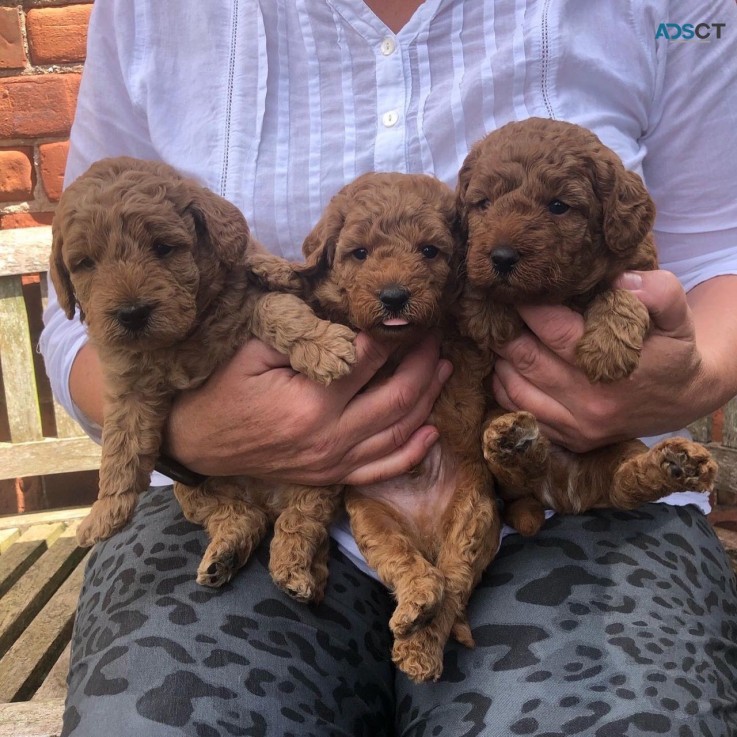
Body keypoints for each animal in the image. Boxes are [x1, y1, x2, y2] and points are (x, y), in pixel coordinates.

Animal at [49, 155, 356, 588]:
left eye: (163, 248)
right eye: (85, 264)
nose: (132, 313)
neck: (182, 336)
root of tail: (266, 500)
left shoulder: (249, 299)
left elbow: (278, 310)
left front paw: (324, 346)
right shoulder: (131, 386)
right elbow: (120, 444)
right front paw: (105, 509)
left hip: (317, 478)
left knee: (303, 519)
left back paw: (294, 570)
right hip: (192, 491)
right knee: (239, 516)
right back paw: (225, 553)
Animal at [253, 170, 500, 680]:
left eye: (429, 250)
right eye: (360, 253)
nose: (393, 297)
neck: (396, 341)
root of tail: (426, 533)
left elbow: (465, 310)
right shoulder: (338, 306)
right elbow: (314, 287)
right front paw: (276, 269)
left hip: (474, 515)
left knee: (453, 581)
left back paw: (419, 645)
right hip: (373, 521)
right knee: (412, 569)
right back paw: (414, 612)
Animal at [458, 118, 716, 536]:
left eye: (558, 206)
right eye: (483, 204)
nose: (502, 257)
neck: (562, 291)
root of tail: (563, 492)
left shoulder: (641, 270)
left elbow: (621, 294)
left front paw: (607, 348)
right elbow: (478, 280)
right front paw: (488, 310)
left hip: (619, 446)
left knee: (625, 485)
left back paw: (674, 465)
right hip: (493, 435)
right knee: (513, 475)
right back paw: (514, 444)